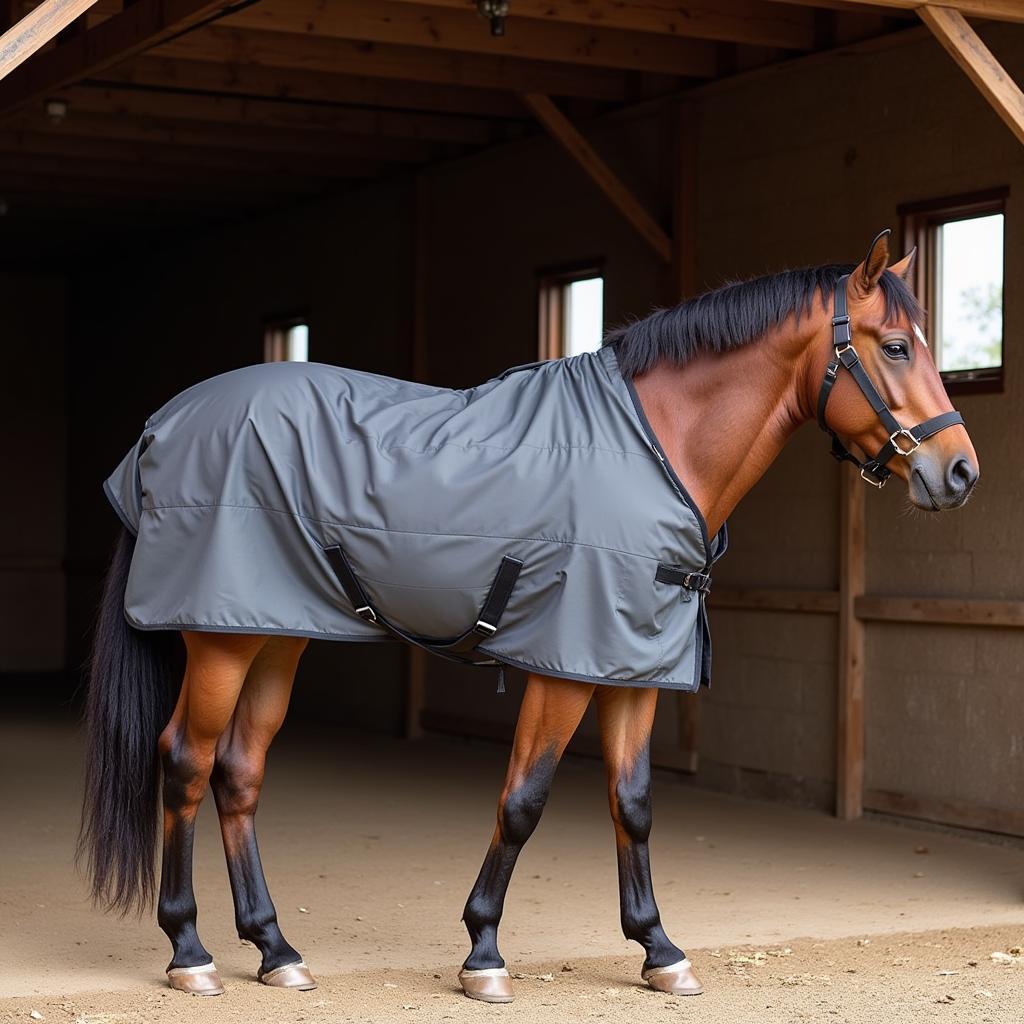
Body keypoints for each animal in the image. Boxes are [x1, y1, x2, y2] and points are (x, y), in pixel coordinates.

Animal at [77, 230, 974, 999]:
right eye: (896, 346)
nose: (959, 472)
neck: (656, 446)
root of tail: (161, 428)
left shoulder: (631, 667)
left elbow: (634, 802)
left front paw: (660, 950)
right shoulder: (564, 668)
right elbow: (523, 800)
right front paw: (483, 953)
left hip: (274, 636)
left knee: (239, 771)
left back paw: (275, 949)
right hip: (220, 643)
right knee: (186, 763)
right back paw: (190, 952)